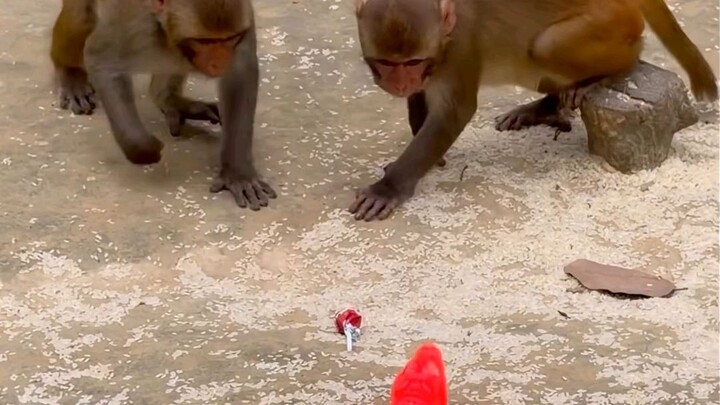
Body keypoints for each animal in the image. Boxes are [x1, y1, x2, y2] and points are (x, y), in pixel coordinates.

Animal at [49, 0, 276, 211]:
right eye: (203, 41)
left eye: (229, 39)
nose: (218, 64)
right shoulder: (136, 26)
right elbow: (100, 60)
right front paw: (143, 148)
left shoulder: (245, 21)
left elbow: (240, 73)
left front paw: (238, 174)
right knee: (81, 18)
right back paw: (70, 75)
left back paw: (170, 100)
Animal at [350, 0, 718, 221]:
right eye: (387, 62)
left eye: (412, 62)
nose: (400, 83)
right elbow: (421, 100)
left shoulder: (459, 47)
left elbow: (454, 112)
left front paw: (390, 187)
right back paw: (545, 108)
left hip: (614, 24)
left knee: (545, 46)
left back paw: (610, 72)